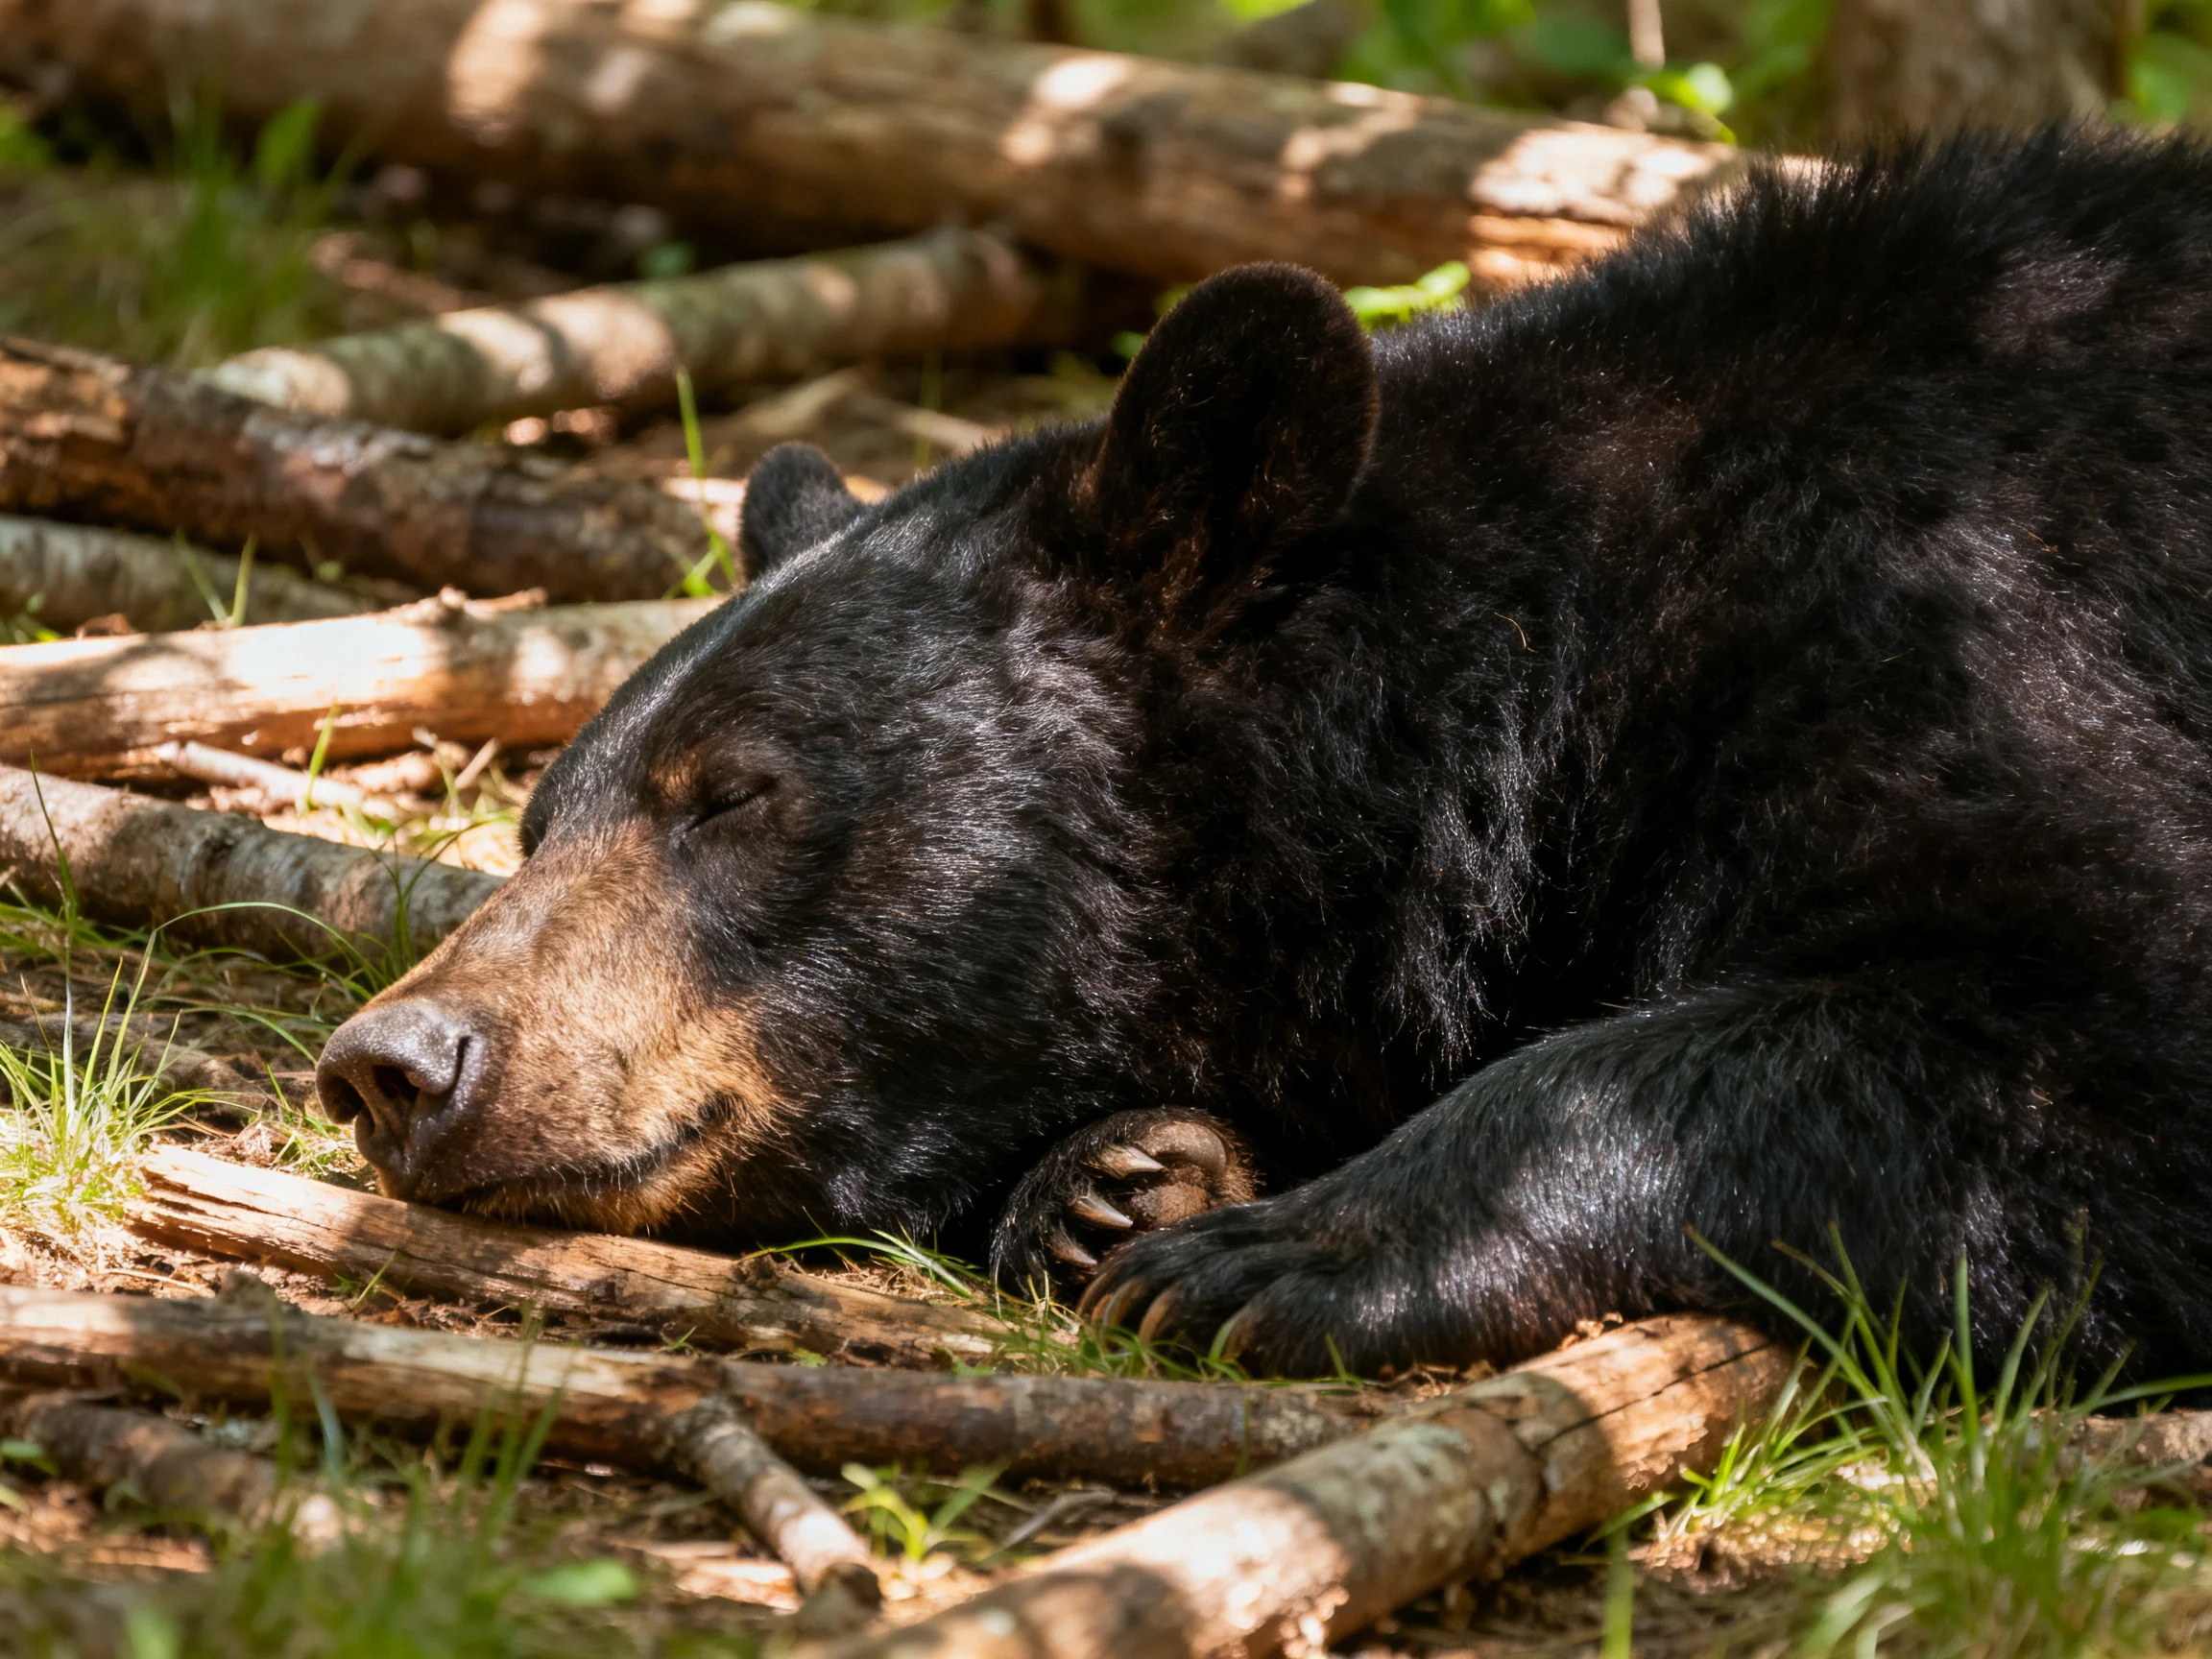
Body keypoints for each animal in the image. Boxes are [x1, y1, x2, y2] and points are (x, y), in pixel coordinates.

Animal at [318, 127, 2212, 1381]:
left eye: (733, 794)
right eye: (536, 821)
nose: (398, 1062)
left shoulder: (1972, 622)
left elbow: (2080, 1042)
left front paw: (1270, 1249)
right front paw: (1113, 1183)